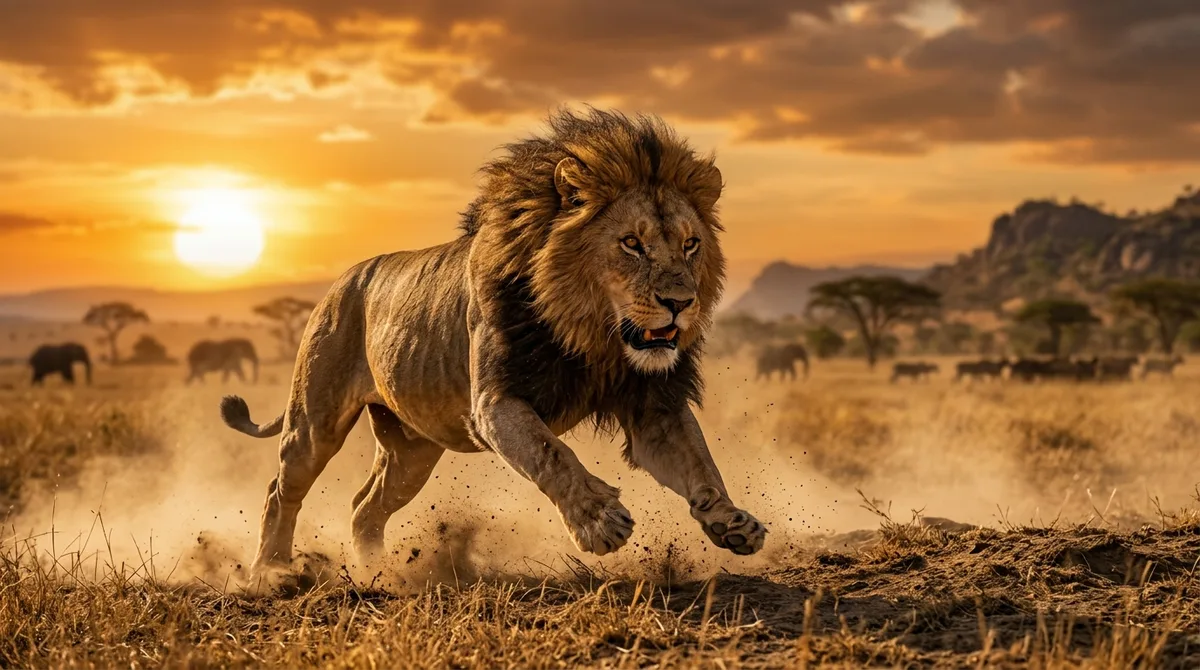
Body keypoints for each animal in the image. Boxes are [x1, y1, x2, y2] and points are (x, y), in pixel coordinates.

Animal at [221, 109, 766, 574]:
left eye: (690, 244)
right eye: (632, 243)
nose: (681, 302)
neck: (594, 337)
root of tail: (340, 282)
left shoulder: (654, 404)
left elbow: (699, 462)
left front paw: (731, 520)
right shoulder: (495, 402)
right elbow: (552, 454)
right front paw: (598, 521)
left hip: (412, 450)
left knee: (364, 508)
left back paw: (381, 575)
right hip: (315, 422)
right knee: (280, 491)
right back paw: (271, 573)